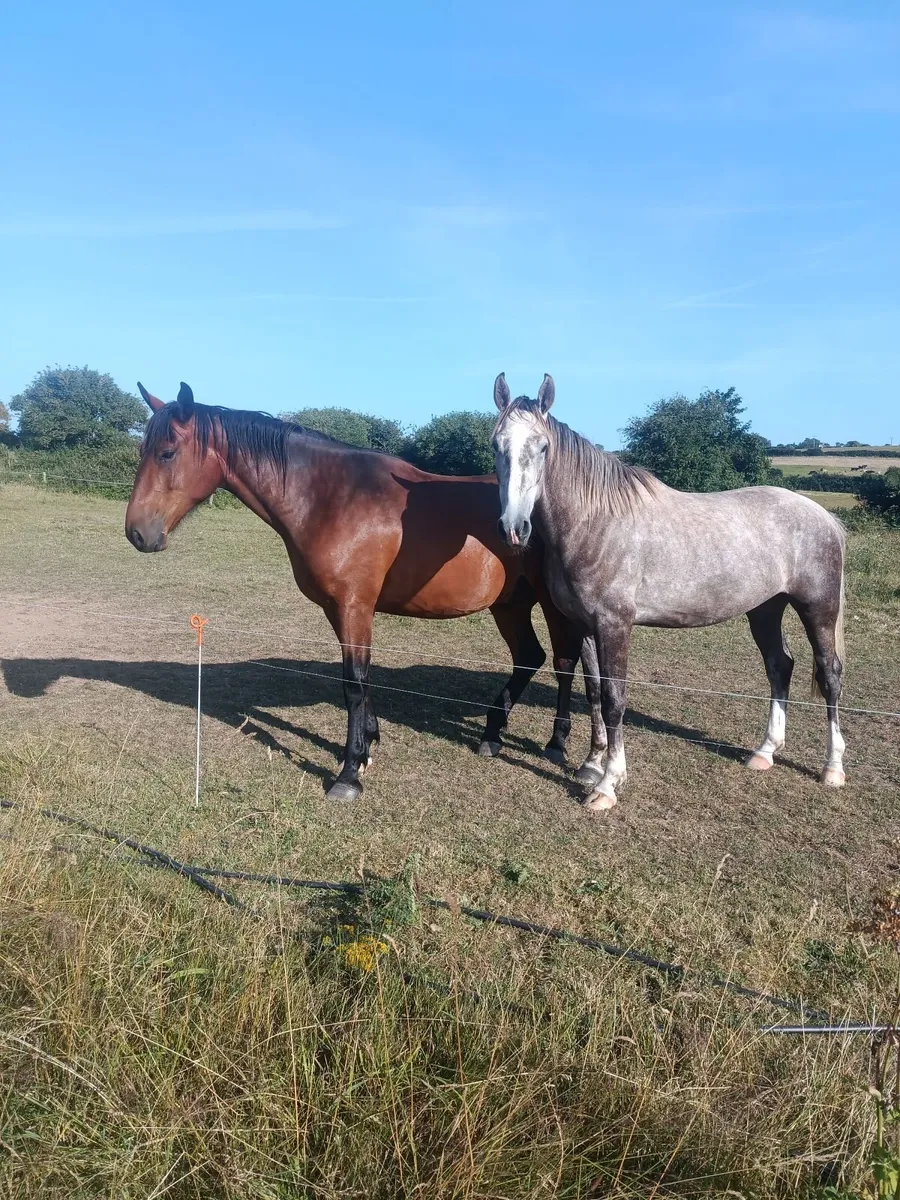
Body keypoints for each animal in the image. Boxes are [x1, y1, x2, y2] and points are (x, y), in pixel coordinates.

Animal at [125, 381, 596, 801]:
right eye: (143, 451)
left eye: (167, 453)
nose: (137, 533)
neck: (331, 498)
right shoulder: (340, 609)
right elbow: (360, 679)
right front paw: (369, 743)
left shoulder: (354, 605)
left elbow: (353, 682)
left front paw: (349, 773)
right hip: (510, 604)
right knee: (530, 658)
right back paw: (492, 734)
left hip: (550, 605)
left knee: (563, 662)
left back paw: (556, 744)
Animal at [491, 372, 847, 813]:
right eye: (496, 444)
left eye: (542, 447)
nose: (514, 528)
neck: (594, 522)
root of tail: (823, 516)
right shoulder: (583, 625)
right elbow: (593, 692)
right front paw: (591, 764)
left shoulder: (614, 625)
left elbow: (614, 699)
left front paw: (607, 785)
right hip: (765, 609)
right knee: (779, 666)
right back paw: (764, 752)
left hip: (818, 608)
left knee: (829, 674)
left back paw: (833, 768)